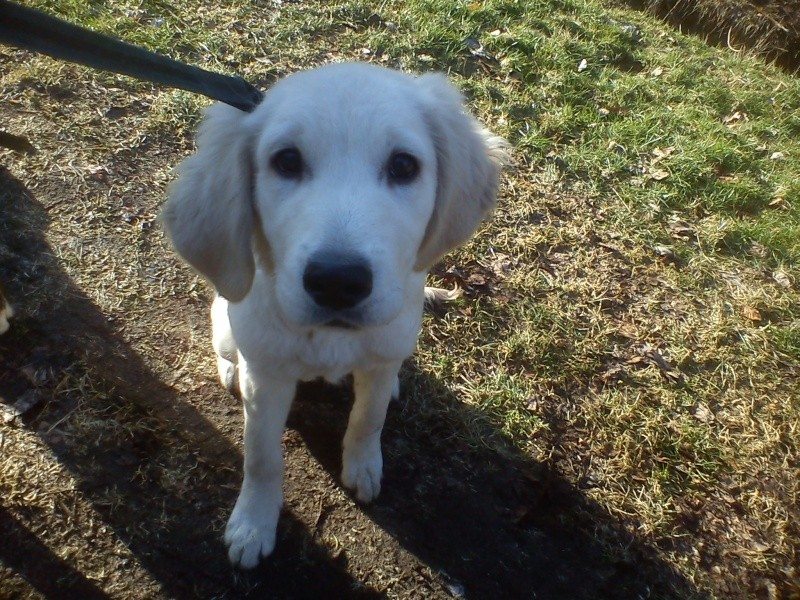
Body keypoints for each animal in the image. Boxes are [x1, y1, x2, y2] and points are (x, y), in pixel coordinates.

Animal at [162, 62, 506, 568]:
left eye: (404, 166)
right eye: (286, 161)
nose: (338, 282)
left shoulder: (382, 353)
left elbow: (369, 417)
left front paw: (363, 465)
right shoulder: (267, 379)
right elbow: (260, 455)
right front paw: (253, 523)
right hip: (226, 320)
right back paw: (231, 369)